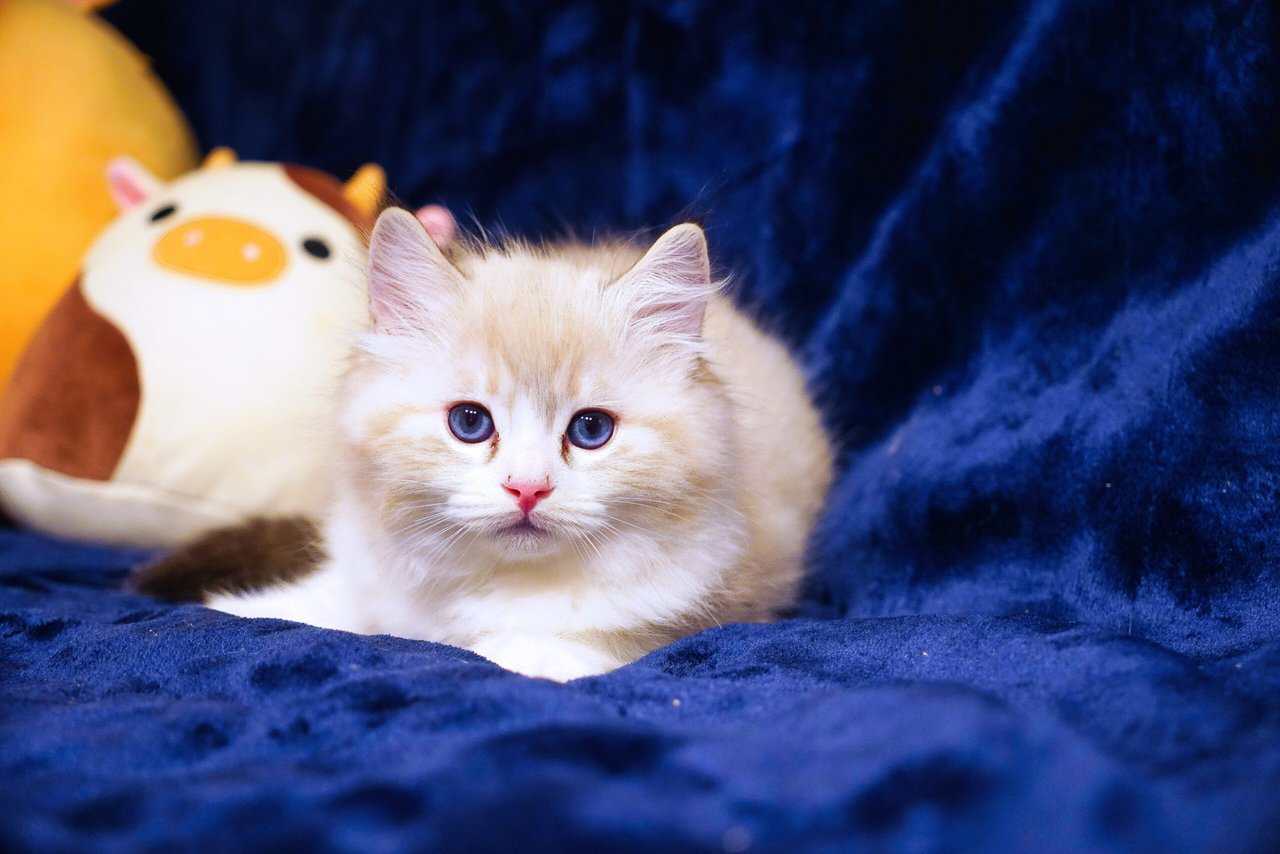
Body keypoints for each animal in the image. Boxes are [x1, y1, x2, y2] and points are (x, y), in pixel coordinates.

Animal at [133, 208, 833, 681]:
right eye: (470, 423)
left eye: (591, 431)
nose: (527, 488)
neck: (490, 581)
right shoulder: (371, 573)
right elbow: (325, 604)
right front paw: (240, 607)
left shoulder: (687, 612)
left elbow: (527, 646)